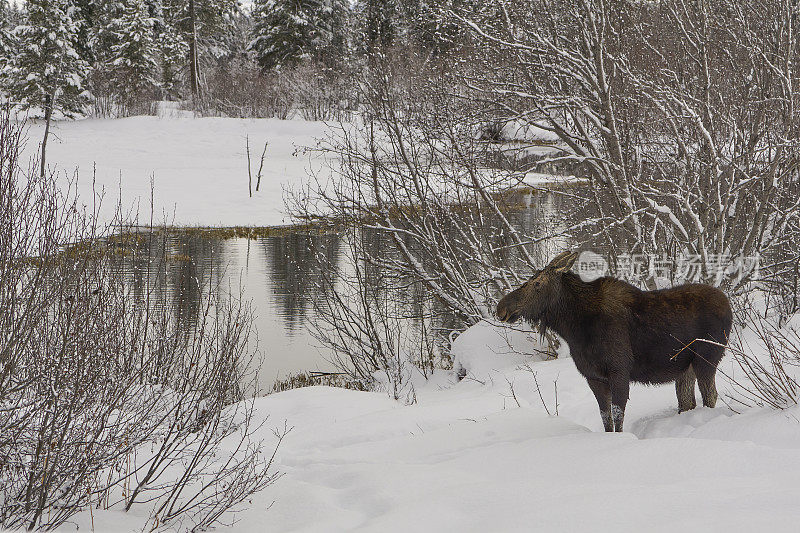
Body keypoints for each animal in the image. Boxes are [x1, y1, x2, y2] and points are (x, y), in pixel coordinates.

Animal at [496, 251, 736, 430]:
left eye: (537, 283)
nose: (502, 307)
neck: (575, 328)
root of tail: (728, 304)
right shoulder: (593, 377)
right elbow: (606, 418)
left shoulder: (619, 370)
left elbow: (618, 415)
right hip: (685, 367)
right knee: (687, 401)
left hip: (707, 357)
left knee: (710, 395)